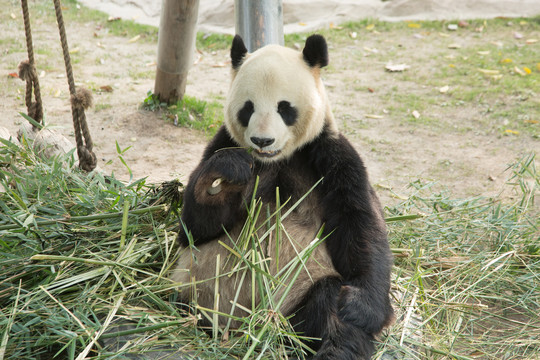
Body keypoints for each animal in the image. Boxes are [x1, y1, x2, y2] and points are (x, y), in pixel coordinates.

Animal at [173, 34, 396, 360]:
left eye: (284, 107)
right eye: (248, 108)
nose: (262, 141)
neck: (275, 161)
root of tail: (245, 325)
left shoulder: (329, 157)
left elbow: (360, 225)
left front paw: (361, 308)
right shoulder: (222, 144)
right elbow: (194, 229)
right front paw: (226, 173)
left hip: (298, 291)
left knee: (329, 308)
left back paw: (335, 344)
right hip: (196, 289)